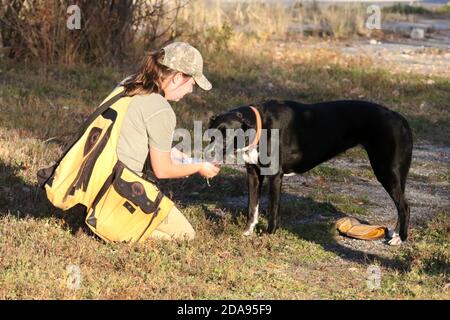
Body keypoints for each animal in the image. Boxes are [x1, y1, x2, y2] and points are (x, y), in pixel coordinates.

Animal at [207, 100, 412, 245]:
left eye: (227, 138)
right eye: (211, 136)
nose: (207, 154)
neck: (261, 125)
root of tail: (399, 118)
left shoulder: (275, 177)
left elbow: (273, 210)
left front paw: (268, 234)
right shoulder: (253, 174)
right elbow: (252, 207)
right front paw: (248, 232)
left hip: (387, 171)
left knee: (404, 206)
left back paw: (400, 238)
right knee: (400, 205)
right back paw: (395, 233)